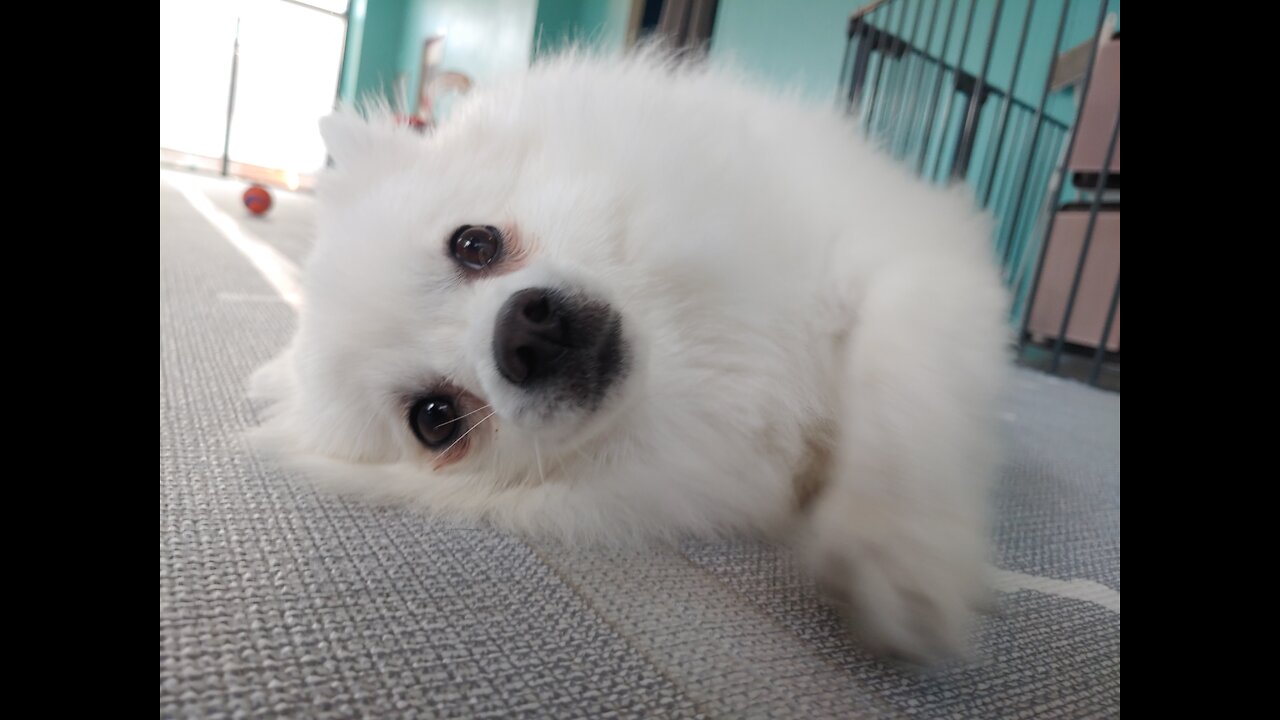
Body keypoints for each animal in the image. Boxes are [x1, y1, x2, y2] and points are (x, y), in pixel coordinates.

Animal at [249, 53, 1008, 666]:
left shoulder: (893, 252)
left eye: (474, 243)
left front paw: (901, 537)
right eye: (436, 419)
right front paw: (892, 549)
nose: (522, 336)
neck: (692, 349)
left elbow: (900, 385)